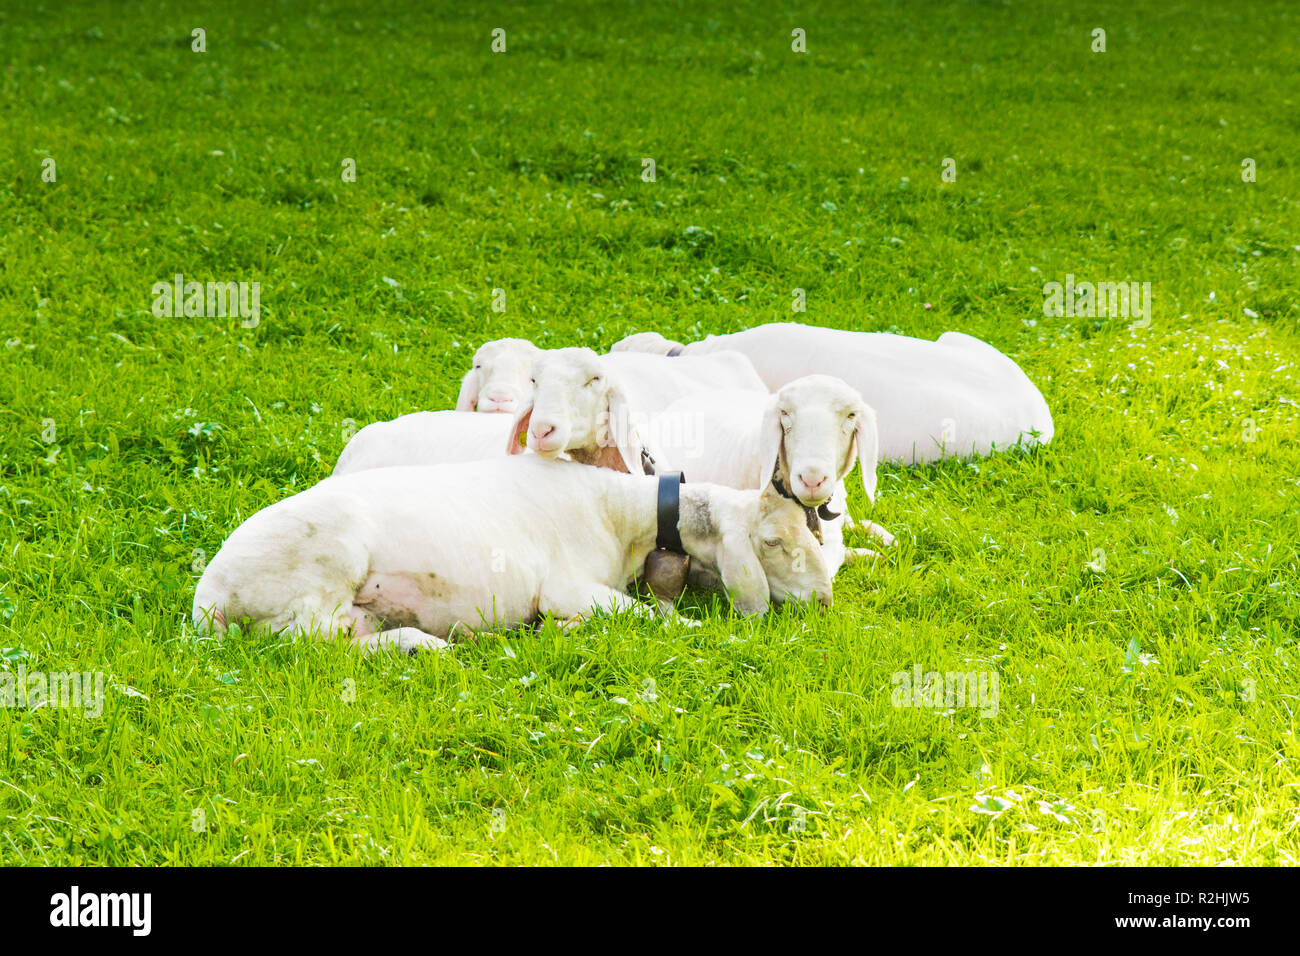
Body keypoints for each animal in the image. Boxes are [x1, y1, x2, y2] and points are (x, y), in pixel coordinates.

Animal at [192, 455, 832, 650]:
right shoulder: (566, 586)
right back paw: (422, 642)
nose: (825, 602)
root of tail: (208, 598)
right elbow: (653, 618)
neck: (619, 514)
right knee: (308, 640)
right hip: (324, 568)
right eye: (772, 542)